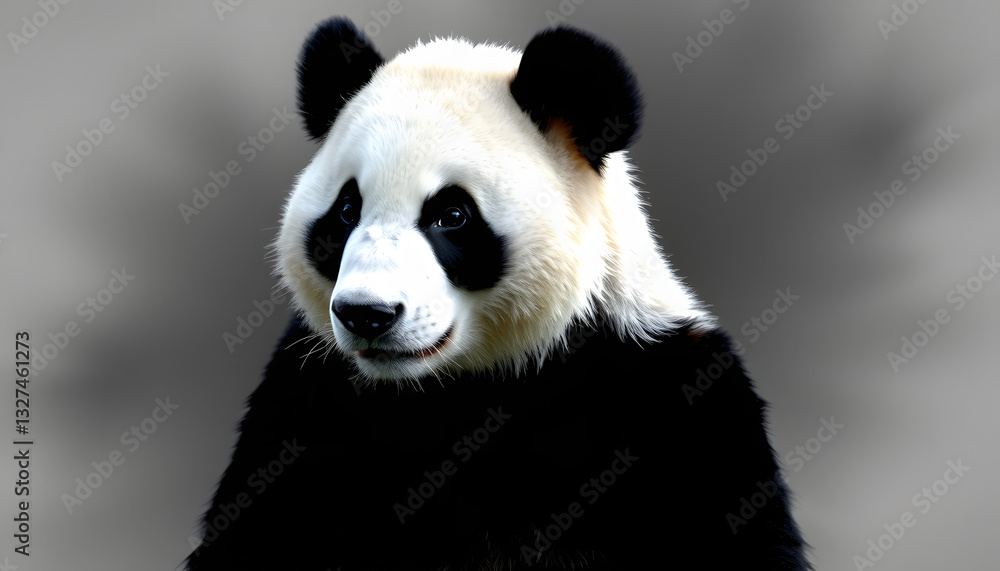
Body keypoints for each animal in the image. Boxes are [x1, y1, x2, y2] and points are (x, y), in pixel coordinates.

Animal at [186, 16, 810, 571]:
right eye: (345, 211)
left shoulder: (673, 399)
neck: (459, 387)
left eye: (452, 215)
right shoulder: (305, 408)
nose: (368, 314)